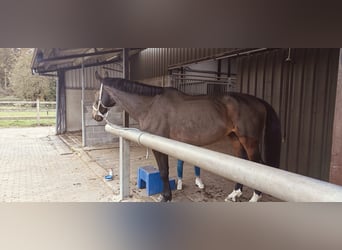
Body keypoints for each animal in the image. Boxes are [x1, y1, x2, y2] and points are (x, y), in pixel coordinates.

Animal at [93, 71, 280, 202]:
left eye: (96, 94)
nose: (96, 116)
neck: (150, 105)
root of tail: (258, 102)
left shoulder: (159, 145)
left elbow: (163, 171)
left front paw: (165, 197)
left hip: (249, 141)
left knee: (258, 165)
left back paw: (255, 198)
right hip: (235, 138)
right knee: (242, 164)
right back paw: (235, 194)